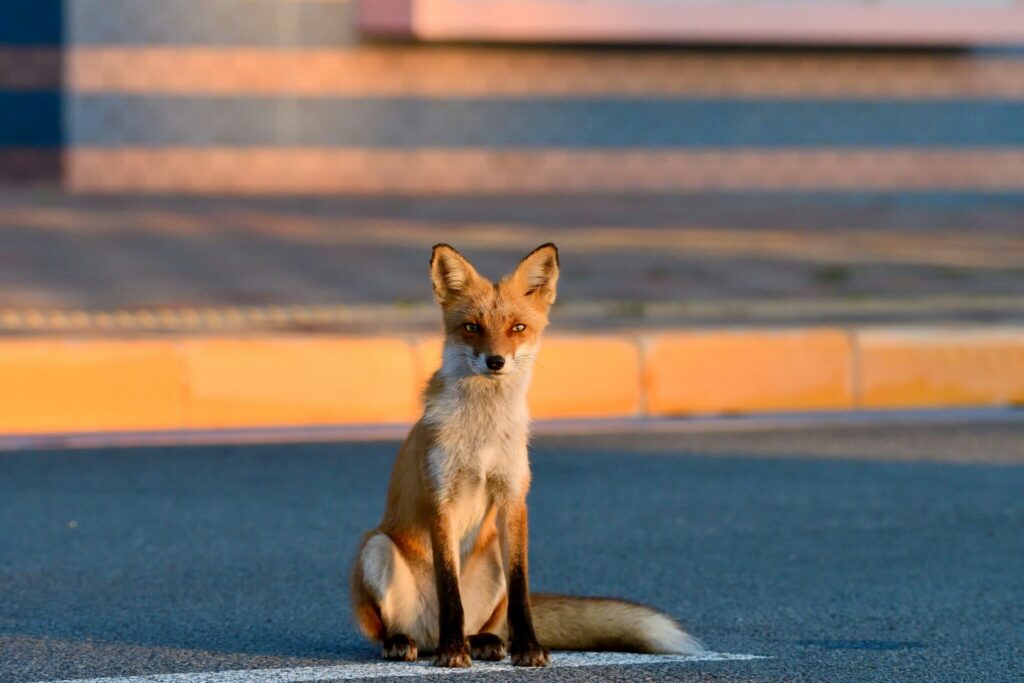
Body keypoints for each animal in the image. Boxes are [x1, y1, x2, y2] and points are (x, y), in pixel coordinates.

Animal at [349, 243, 703, 667]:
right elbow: (450, 590)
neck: (482, 437)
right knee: (405, 628)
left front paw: (528, 648)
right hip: (376, 548)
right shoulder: (441, 499)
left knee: (486, 623)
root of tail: (429, 633)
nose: (495, 361)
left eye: (517, 328)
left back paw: (483, 641)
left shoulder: (513, 499)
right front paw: (453, 653)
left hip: (491, 559)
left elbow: (521, 592)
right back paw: (414, 641)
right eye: (472, 327)